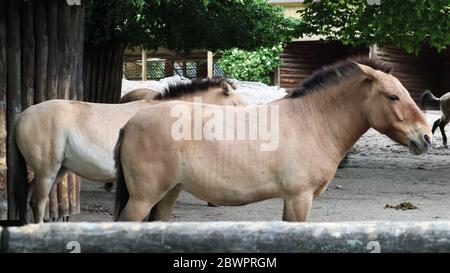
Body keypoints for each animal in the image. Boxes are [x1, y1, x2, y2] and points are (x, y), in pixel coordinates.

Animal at [14, 77, 246, 222]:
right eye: (236, 105)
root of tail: (22, 116)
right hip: (47, 171)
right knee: (38, 202)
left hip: (58, 171)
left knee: (28, 198)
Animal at [115, 56, 432, 221]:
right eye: (393, 96)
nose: (426, 137)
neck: (311, 122)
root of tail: (129, 124)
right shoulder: (298, 199)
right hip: (143, 199)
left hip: (169, 194)